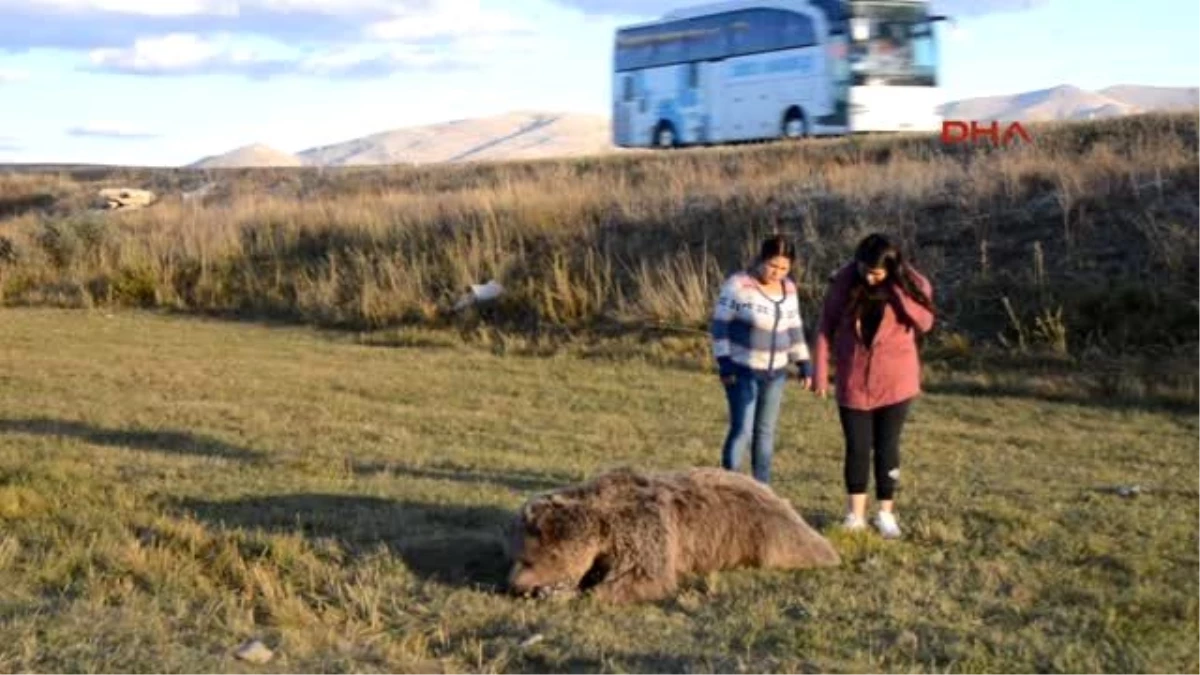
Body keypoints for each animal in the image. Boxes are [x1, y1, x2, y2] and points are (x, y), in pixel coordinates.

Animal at [501, 466, 840, 600]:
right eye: (516, 555)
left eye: (529, 559)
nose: (514, 585)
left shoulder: (641, 530)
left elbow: (643, 577)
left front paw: (580, 592)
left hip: (769, 536)